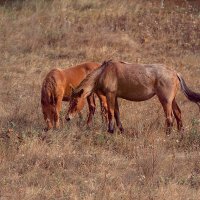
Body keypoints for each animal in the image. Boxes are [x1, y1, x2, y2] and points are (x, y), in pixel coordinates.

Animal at [67, 60, 200, 136]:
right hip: (172, 100)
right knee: (178, 114)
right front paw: (121, 130)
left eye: (75, 102)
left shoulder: (110, 95)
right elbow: (117, 113)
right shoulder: (115, 97)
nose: (67, 118)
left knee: (169, 117)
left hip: (165, 100)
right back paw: (180, 134)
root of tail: (175, 73)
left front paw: (110, 130)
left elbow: (110, 113)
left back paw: (167, 135)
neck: (104, 72)